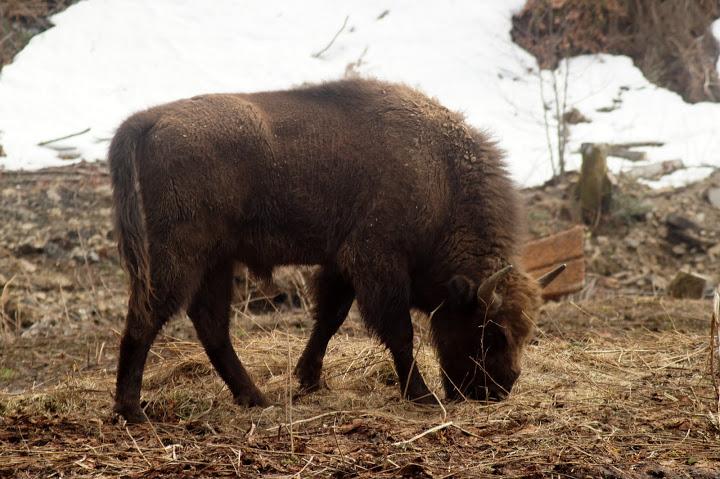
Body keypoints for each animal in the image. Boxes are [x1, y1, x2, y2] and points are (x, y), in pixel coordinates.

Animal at [108, 79, 564, 424]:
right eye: (491, 332)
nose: (498, 389)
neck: (439, 179)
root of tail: (148, 119)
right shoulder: (377, 263)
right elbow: (398, 332)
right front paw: (421, 395)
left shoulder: (343, 265)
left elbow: (329, 318)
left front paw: (309, 380)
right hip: (178, 258)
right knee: (147, 317)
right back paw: (132, 411)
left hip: (216, 262)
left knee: (210, 325)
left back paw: (255, 398)